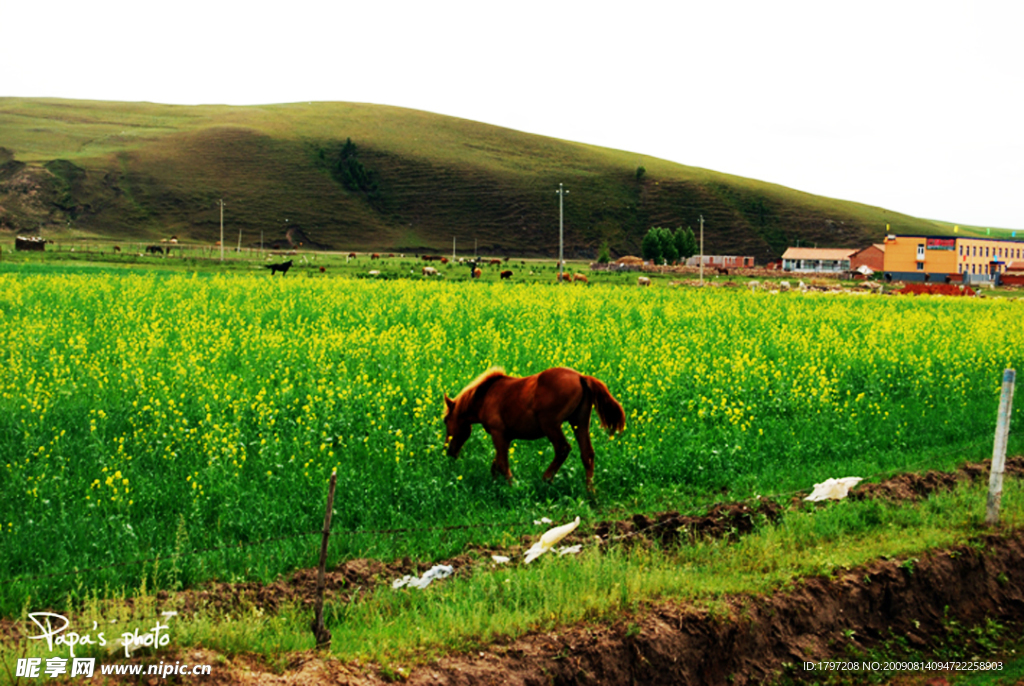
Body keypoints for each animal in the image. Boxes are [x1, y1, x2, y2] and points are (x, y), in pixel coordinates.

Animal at [444, 368, 626, 491]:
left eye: (446, 421)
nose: (449, 452)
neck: (485, 396)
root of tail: (581, 377)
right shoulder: (505, 437)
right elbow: (496, 464)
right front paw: (496, 485)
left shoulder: (498, 434)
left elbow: (502, 464)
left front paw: (512, 487)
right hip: (579, 423)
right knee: (587, 454)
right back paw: (590, 492)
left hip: (551, 425)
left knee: (563, 448)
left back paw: (546, 479)